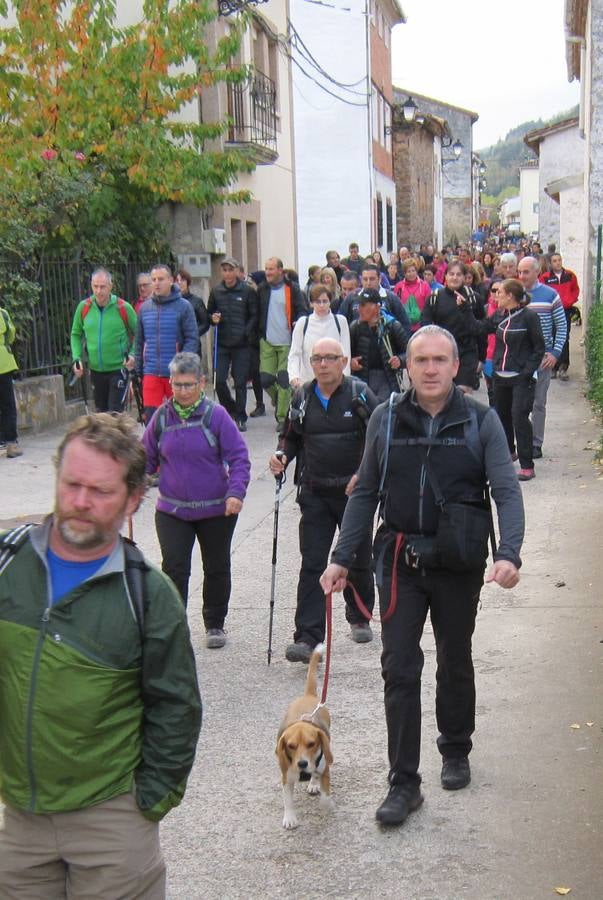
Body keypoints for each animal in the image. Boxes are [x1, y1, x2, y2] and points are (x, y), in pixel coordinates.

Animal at [276, 640, 332, 828]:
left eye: (311, 743)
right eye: (291, 746)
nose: (302, 763)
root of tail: (308, 695)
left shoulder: (324, 769)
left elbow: (325, 793)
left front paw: (326, 804)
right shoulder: (286, 778)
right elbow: (288, 800)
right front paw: (290, 818)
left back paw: (313, 784)